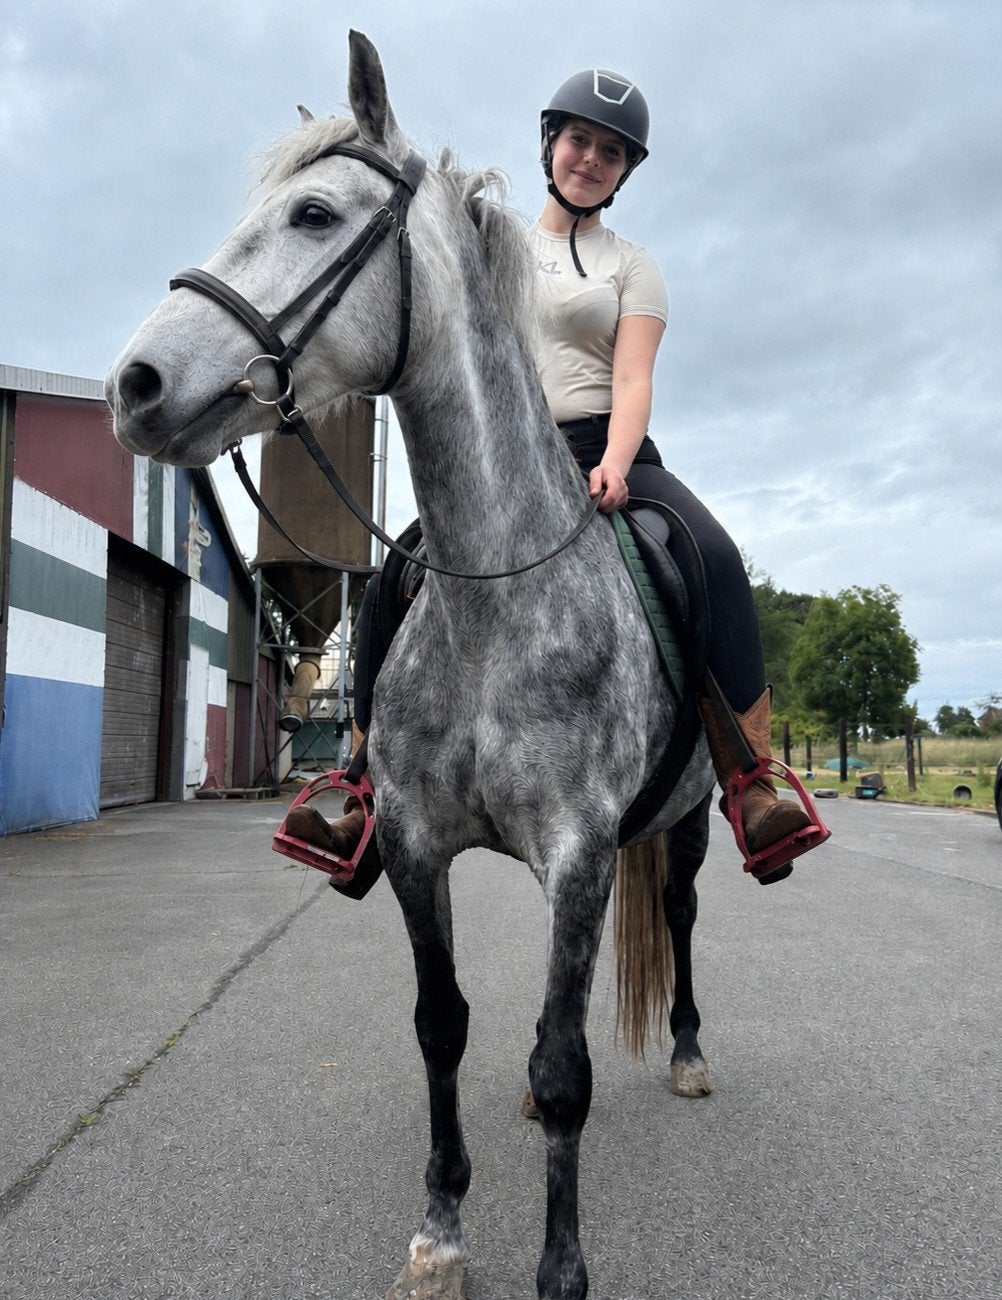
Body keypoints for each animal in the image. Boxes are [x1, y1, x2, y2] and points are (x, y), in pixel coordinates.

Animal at [105, 31, 716, 1300]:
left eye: (314, 214)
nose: (133, 386)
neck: (499, 598)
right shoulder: (420, 842)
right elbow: (447, 1023)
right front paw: (441, 1228)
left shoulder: (582, 850)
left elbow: (572, 1060)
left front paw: (561, 1269)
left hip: (683, 823)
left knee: (678, 911)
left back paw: (687, 1049)